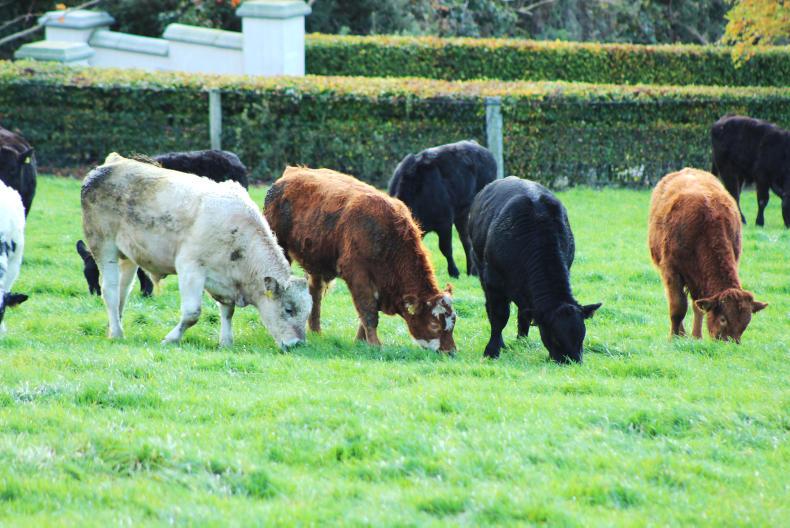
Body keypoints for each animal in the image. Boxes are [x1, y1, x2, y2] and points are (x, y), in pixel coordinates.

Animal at [264, 166, 457, 353]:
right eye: (434, 324)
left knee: (315, 294)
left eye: (453, 321)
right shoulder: (358, 276)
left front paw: (360, 341)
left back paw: (316, 330)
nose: (451, 351)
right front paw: (375, 344)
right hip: (282, 249)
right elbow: (368, 312)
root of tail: (290, 174)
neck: (387, 237)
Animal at [388, 140, 496, 278]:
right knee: (466, 239)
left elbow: (445, 248)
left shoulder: (444, 222)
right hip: (462, 213)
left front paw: (454, 272)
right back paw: (471, 271)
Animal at [468, 176, 601, 363]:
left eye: (581, 336)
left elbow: (523, 314)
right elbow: (499, 317)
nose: (573, 362)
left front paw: (521, 342)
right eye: (555, 338)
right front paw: (492, 350)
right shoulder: (493, 283)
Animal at [648, 167, 768, 342]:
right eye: (723, 319)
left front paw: (697, 337)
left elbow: (698, 307)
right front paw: (674, 338)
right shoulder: (672, 271)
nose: (729, 342)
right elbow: (677, 307)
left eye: (745, 323)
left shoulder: (699, 280)